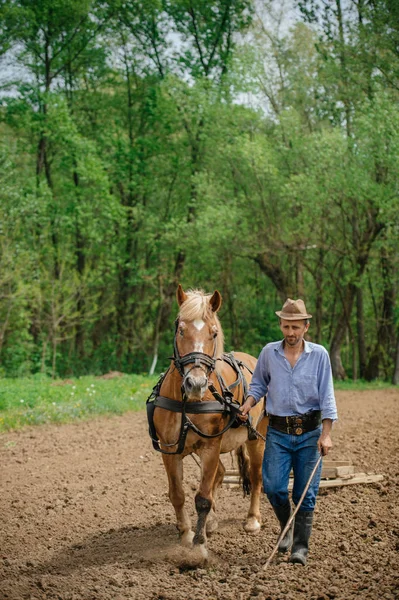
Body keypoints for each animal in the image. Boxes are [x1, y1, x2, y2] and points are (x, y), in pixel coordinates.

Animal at [148, 284, 268, 556]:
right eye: (181, 329)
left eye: (214, 333)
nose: (196, 383)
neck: (188, 402)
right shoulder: (170, 450)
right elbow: (178, 494)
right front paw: (186, 535)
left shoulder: (211, 446)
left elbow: (202, 498)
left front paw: (199, 544)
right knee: (221, 475)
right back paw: (212, 522)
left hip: (256, 438)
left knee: (256, 476)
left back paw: (252, 520)